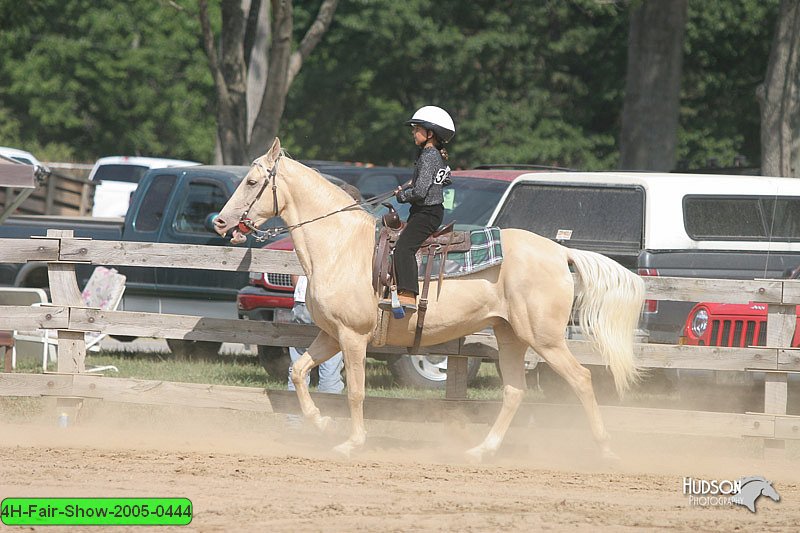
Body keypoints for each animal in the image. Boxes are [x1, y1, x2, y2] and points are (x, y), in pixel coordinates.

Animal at [216, 138, 648, 462]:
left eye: (252, 182)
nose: (220, 222)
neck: (341, 245)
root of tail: (560, 251)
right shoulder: (331, 335)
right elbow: (299, 372)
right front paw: (322, 423)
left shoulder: (353, 337)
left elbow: (355, 392)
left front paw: (352, 443)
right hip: (511, 336)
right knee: (514, 391)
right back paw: (482, 450)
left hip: (545, 339)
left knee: (582, 379)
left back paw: (605, 450)